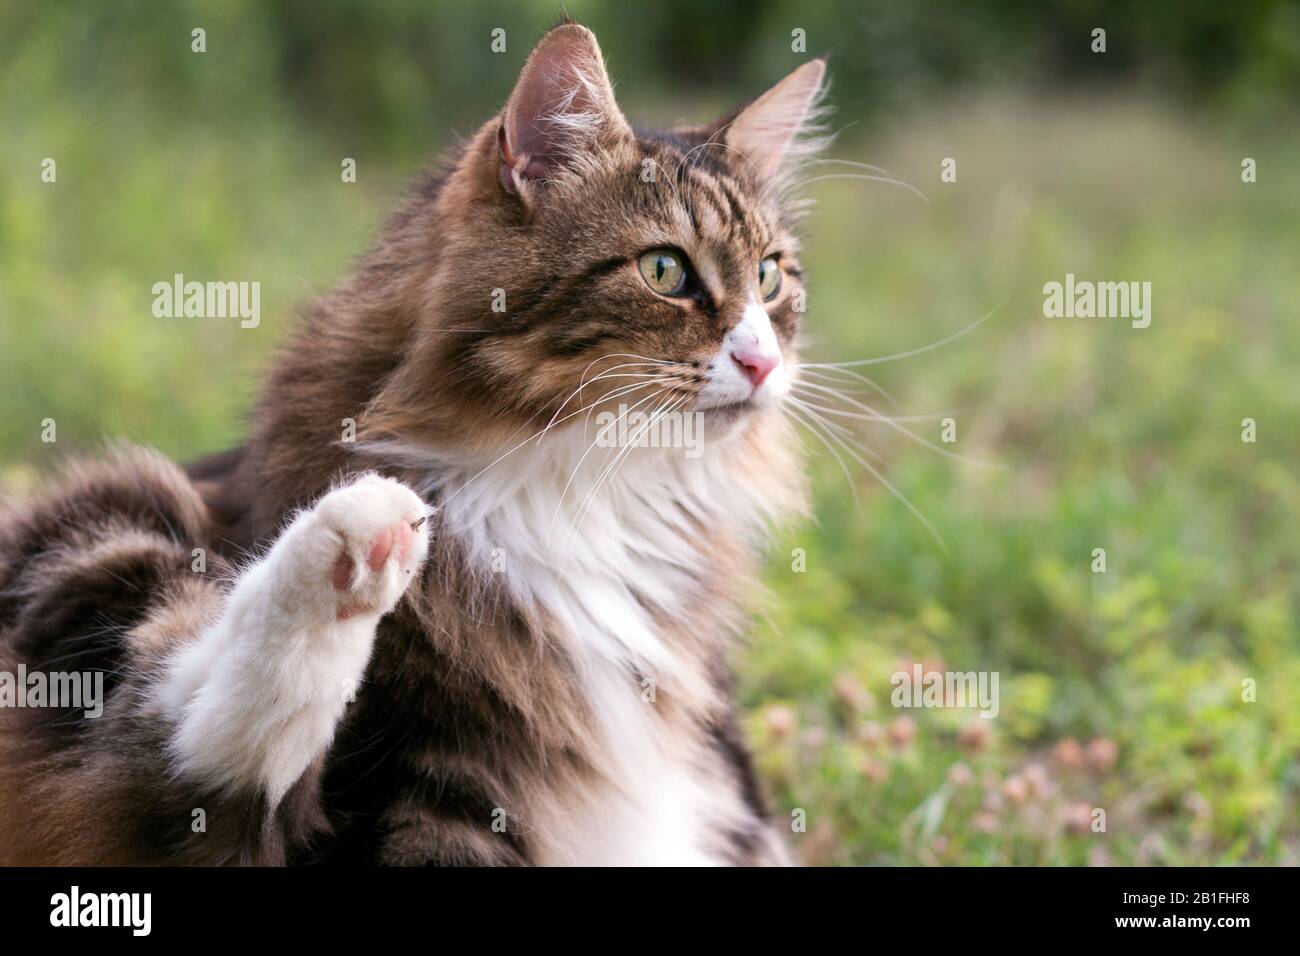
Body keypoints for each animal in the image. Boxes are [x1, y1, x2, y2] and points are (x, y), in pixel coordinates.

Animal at [0, 20, 826, 868]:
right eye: (665, 270)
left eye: (770, 279)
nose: (763, 363)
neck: (591, 489)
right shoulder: (423, 783)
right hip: (101, 523)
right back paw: (352, 547)